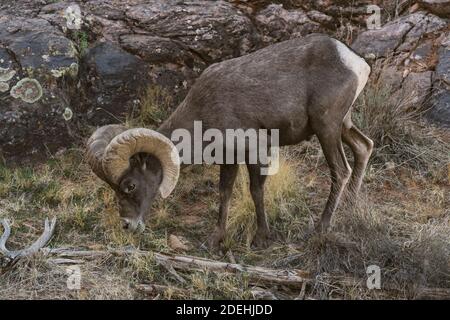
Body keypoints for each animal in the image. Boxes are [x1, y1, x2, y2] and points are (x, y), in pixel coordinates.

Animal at [85, 34, 372, 250]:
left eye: (130, 185)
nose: (127, 224)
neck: (204, 111)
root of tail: (354, 61)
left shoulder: (256, 151)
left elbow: (255, 191)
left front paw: (261, 238)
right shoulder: (229, 158)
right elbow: (225, 192)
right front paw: (215, 240)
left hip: (327, 127)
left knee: (340, 170)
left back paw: (320, 228)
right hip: (343, 125)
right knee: (364, 147)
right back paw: (350, 208)